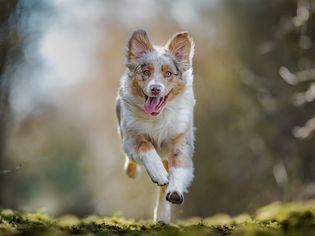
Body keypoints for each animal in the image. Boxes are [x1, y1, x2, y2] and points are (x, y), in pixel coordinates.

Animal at [116, 29, 195, 223]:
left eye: (168, 74)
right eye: (146, 72)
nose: (155, 89)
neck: (158, 117)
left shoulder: (181, 139)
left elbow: (180, 166)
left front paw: (175, 191)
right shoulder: (131, 136)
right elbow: (145, 146)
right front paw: (158, 172)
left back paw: (161, 216)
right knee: (132, 161)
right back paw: (132, 170)